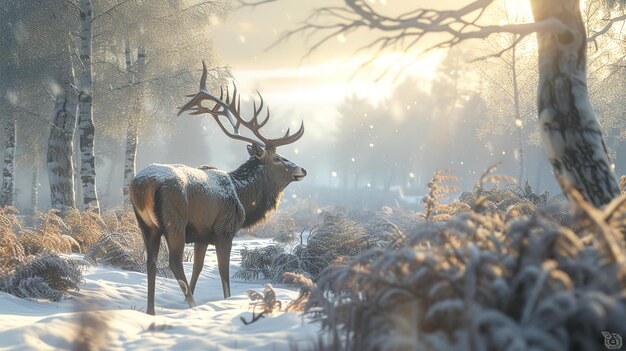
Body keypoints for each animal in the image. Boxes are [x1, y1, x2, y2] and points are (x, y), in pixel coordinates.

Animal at [130, 62, 306, 316]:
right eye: (278, 159)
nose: (302, 169)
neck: (243, 197)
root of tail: (144, 185)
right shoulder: (225, 229)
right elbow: (224, 273)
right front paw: (223, 302)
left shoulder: (202, 235)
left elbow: (198, 267)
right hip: (175, 221)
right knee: (174, 262)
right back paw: (190, 304)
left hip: (145, 225)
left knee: (150, 262)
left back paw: (152, 311)